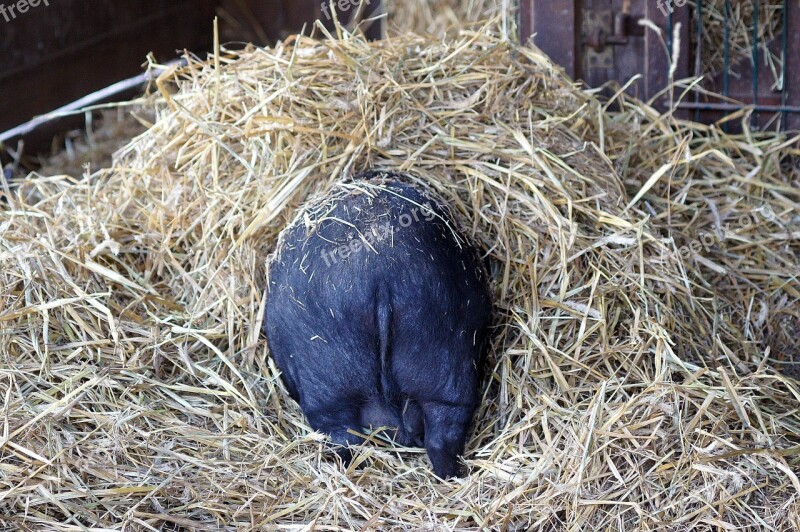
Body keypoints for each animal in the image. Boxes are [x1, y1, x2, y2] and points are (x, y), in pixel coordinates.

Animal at [266, 171, 490, 478]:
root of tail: (380, 275)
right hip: (442, 346)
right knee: (442, 429)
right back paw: (451, 476)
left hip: (327, 371)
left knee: (342, 435)